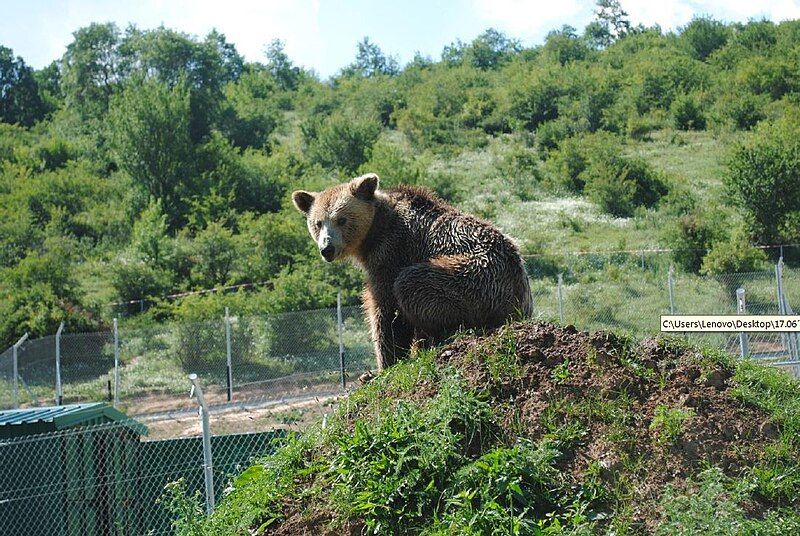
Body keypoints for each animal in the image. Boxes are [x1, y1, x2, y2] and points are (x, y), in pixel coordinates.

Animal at [292, 174, 532, 370]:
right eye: (318, 223)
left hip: (477, 277)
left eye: (341, 219)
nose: (327, 248)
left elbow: (385, 309)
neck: (373, 234)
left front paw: (383, 364)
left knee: (412, 283)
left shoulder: (392, 253)